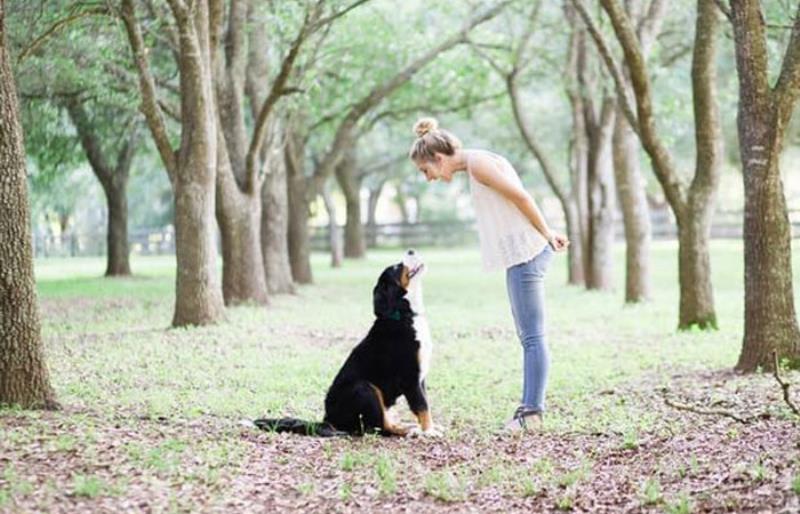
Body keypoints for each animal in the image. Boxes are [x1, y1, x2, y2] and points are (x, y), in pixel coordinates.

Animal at [253, 248, 438, 436]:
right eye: (397, 267)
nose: (411, 250)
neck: (404, 314)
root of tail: (328, 420)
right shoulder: (410, 377)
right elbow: (422, 406)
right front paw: (429, 431)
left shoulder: (420, 378)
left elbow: (426, 404)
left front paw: (431, 428)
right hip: (365, 388)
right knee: (377, 427)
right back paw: (406, 430)